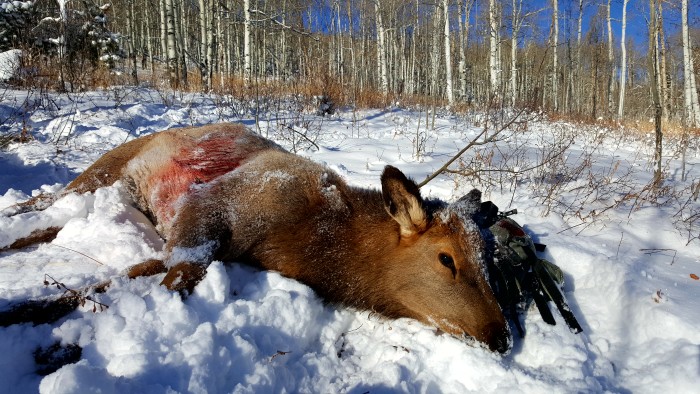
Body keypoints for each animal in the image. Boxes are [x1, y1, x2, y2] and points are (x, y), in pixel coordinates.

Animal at [2, 123, 512, 354]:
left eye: (489, 260)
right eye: (446, 258)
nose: (502, 336)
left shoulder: (192, 239)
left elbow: (119, 280)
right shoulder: (209, 207)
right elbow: (175, 278)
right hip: (100, 172)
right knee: (38, 207)